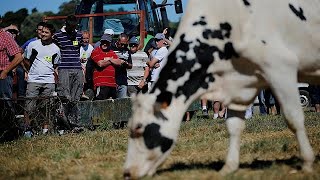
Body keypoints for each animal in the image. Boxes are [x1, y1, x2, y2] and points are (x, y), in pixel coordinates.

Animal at [124, 0, 318, 179]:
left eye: (139, 128)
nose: (126, 172)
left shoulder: (280, 67)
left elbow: (294, 118)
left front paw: (307, 163)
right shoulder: (237, 86)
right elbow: (234, 125)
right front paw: (229, 167)